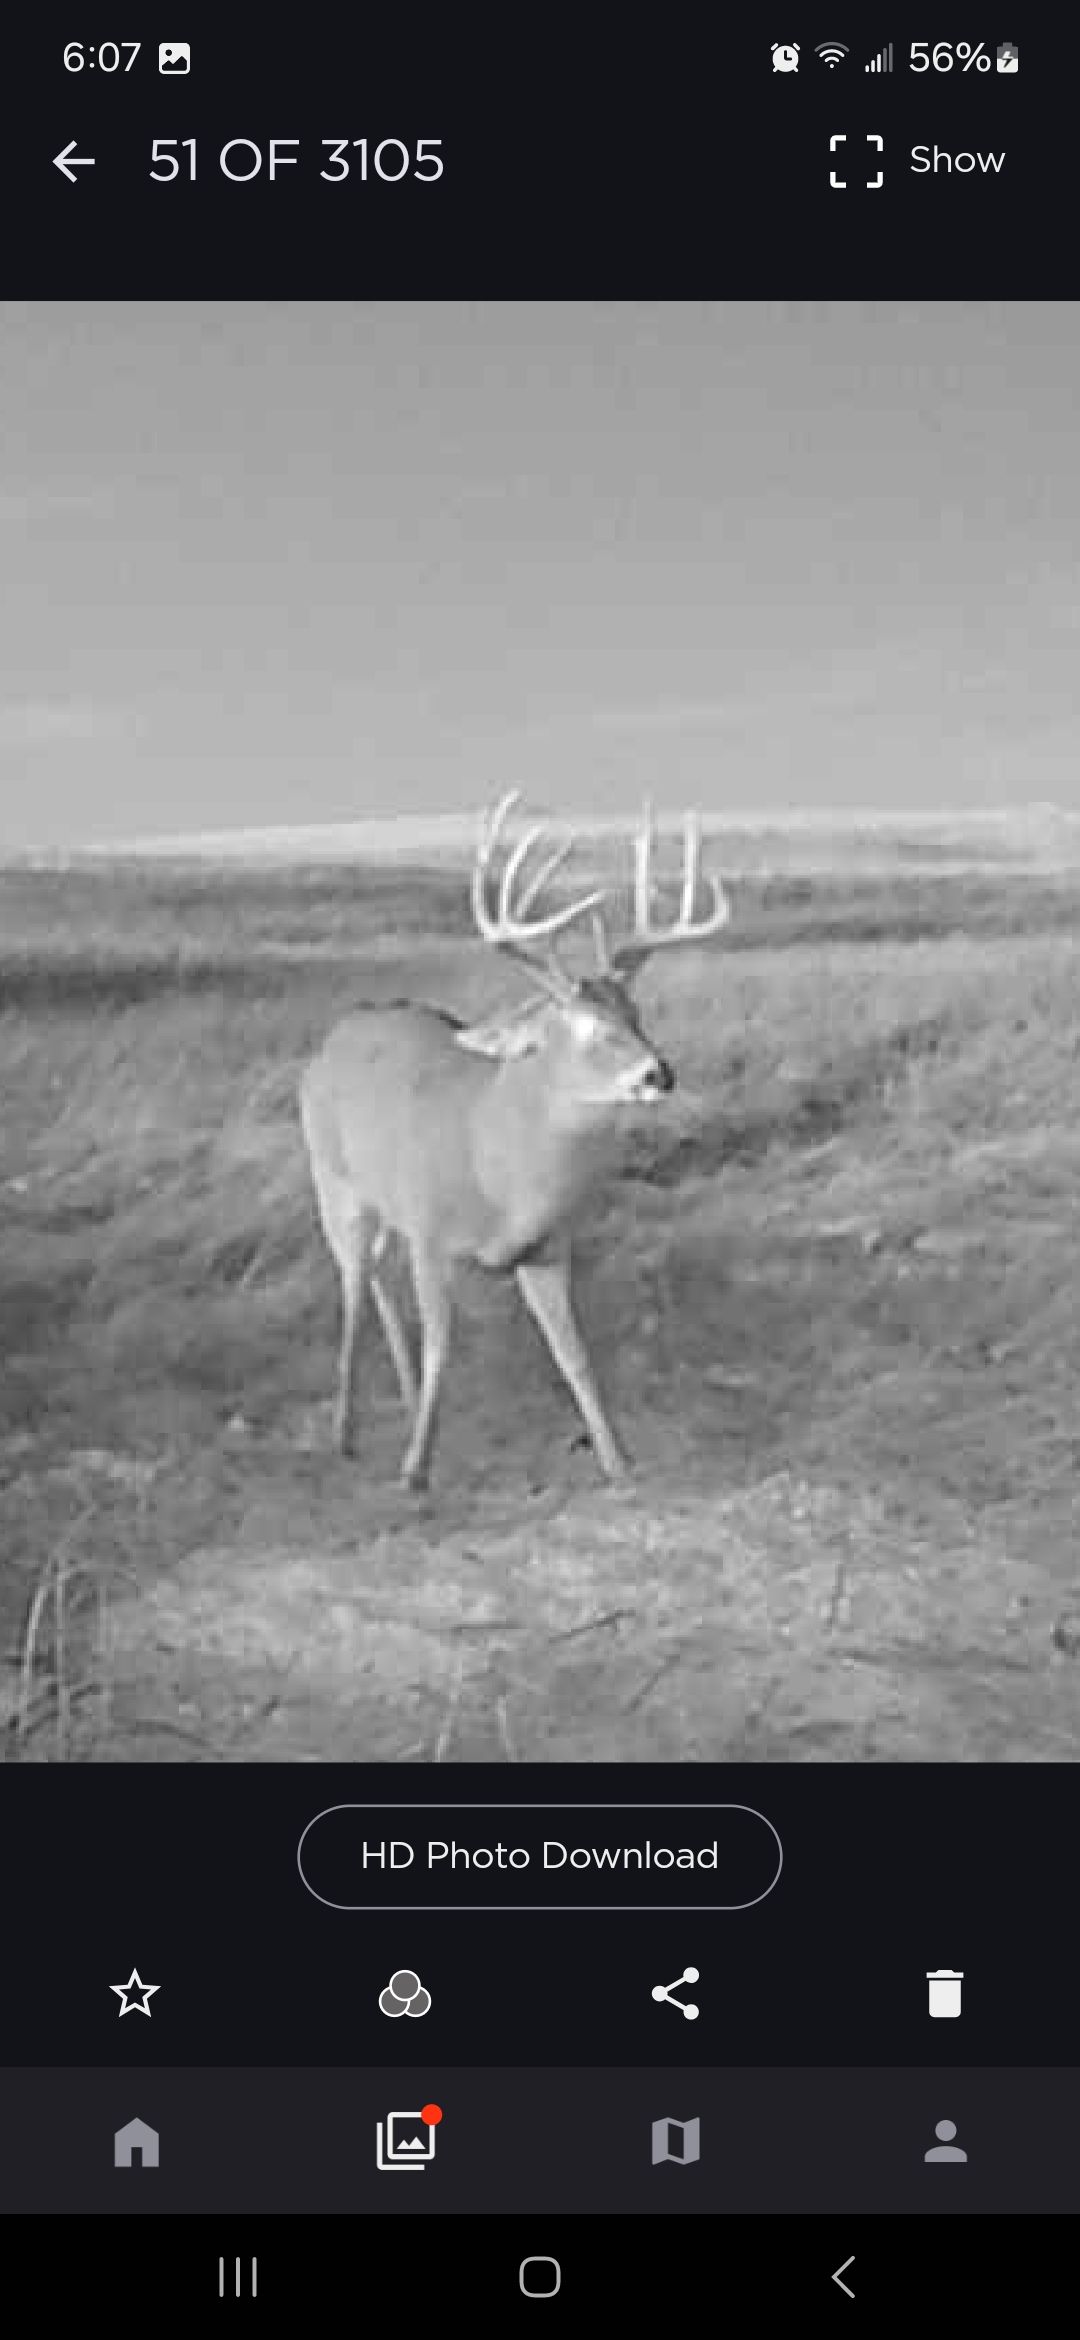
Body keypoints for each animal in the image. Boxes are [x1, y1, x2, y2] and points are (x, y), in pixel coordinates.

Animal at [299, 793, 729, 1490]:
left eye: (636, 1014)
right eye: (581, 1026)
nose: (657, 1073)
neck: (499, 1171)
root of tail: (337, 1035)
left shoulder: (548, 1248)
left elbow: (573, 1353)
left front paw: (618, 1459)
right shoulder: (431, 1234)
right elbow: (443, 1346)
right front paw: (416, 1469)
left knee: (375, 1280)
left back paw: (401, 1394)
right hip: (333, 1180)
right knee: (353, 1286)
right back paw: (345, 1431)